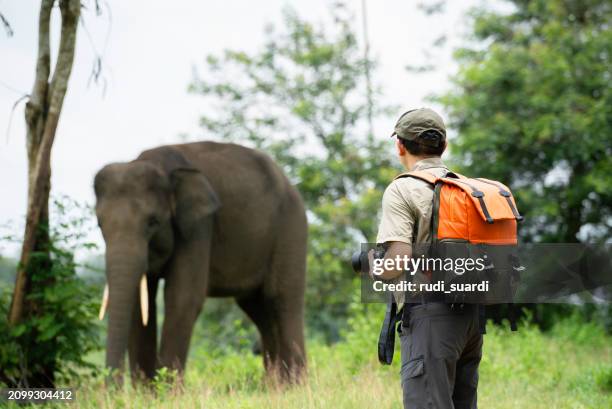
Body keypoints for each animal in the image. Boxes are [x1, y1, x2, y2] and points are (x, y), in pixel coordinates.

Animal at [95, 141, 308, 382]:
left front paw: (168, 390)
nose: (112, 386)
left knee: (281, 299)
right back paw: (276, 386)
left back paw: (295, 385)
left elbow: (182, 298)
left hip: (291, 228)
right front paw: (147, 390)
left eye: (153, 222)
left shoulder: (199, 227)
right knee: (257, 308)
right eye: (100, 224)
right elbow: (141, 306)